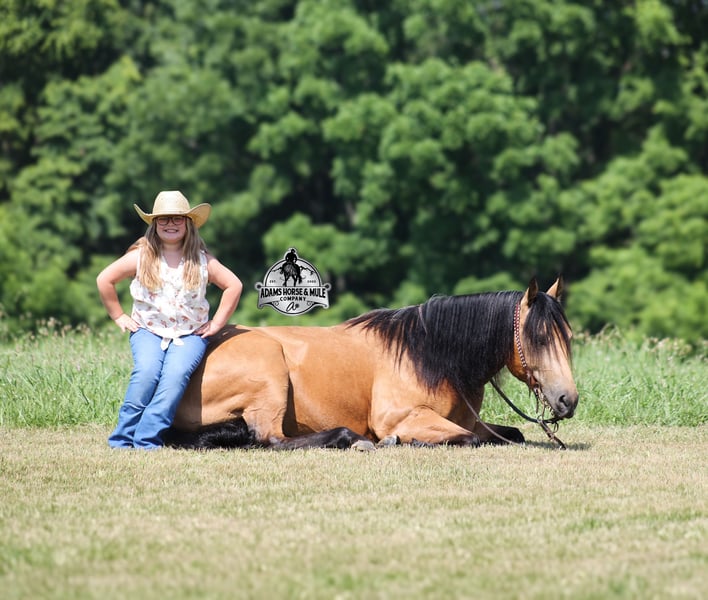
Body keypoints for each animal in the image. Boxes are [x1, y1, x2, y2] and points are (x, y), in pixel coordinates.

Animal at [165, 278, 578, 450]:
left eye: (568, 337)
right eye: (540, 338)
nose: (567, 400)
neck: (430, 353)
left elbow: (510, 434)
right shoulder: (405, 417)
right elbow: (467, 439)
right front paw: (400, 442)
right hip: (270, 371)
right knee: (269, 440)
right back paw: (349, 439)